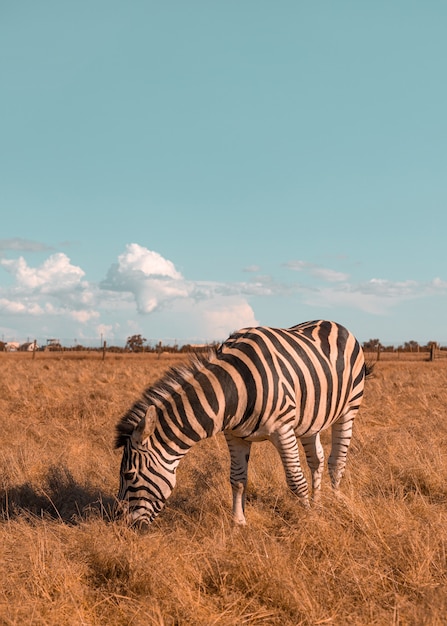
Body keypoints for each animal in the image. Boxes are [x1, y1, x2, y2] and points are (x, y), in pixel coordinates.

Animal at [115, 320, 372, 524]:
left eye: (129, 474)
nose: (121, 525)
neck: (234, 389)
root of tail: (333, 323)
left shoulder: (283, 430)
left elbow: (295, 481)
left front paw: (309, 520)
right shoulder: (234, 435)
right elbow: (237, 479)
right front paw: (238, 522)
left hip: (348, 410)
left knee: (336, 462)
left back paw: (334, 502)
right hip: (311, 419)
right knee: (316, 460)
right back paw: (318, 503)